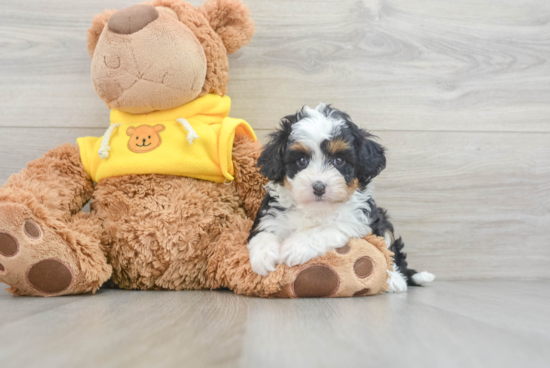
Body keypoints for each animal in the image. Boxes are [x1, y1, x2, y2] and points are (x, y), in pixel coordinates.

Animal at [249, 104, 436, 294]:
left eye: (338, 160)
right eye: (301, 160)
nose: (318, 187)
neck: (316, 208)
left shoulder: (358, 220)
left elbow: (327, 227)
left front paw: (296, 246)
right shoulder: (271, 214)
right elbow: (264, 231)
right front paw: (263, 256)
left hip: (383, 224)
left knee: (392, 254)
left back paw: (395, 280)